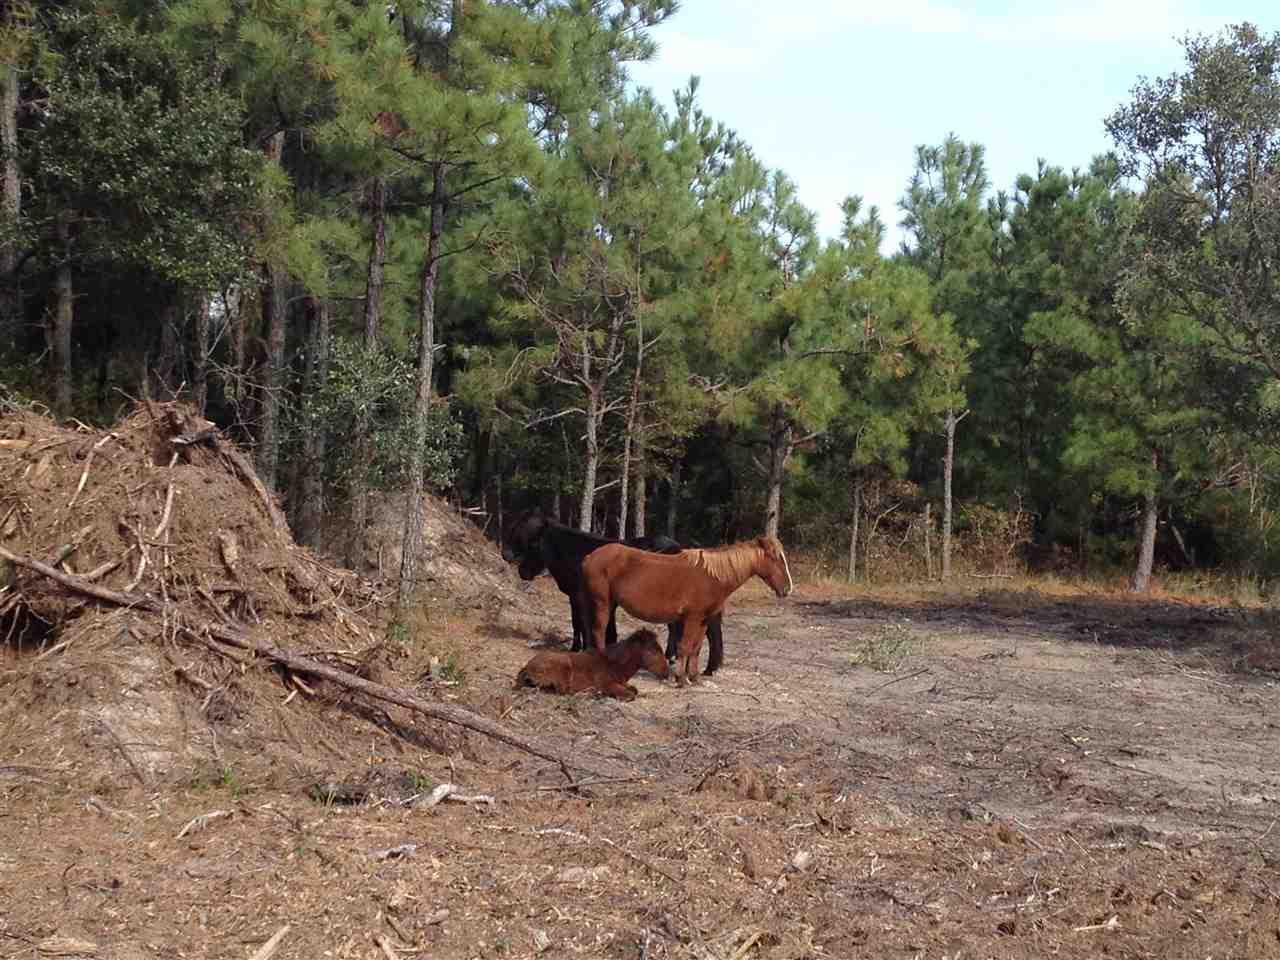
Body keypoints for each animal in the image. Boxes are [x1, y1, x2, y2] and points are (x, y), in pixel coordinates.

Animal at [499, 512, 727, 675]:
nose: (505, 555)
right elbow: (599, 626)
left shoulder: (580, 597)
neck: (575, 553)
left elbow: (582, 623)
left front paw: (580, 649)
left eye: (529, 538)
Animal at [512, 627, 670, 701]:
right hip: (564, 667)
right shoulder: (608, 684)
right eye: (652, 651)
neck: (614, 664)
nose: (666, 672)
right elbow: (630, 695)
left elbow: (634, 690)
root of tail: (527, 668)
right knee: (563, 691)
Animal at [578, 537, 788, 686]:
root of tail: (590, 557)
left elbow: (696, 648)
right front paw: (680, 678)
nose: (787, 588)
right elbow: (685, 646)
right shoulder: (692, 618)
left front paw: (694, 677)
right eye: (776, 557)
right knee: (598, 631)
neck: (712, 576)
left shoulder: (703, 620)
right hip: (602, 602)